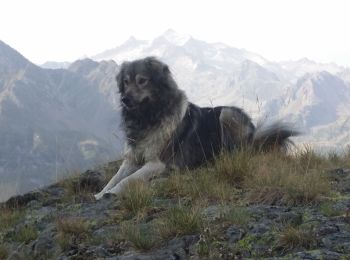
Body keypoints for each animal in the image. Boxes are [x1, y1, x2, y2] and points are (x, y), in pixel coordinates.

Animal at [94, 57, 296, 199]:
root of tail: (254, 133)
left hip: (226, 114)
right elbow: (115, 177)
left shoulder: (158, 162)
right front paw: (100, 193)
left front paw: (113, 192)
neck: (148, 118)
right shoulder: (131, 159)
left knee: (234, 153)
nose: (124, 99)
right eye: (126, 82)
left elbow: (129, 178)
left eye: (142, 80)